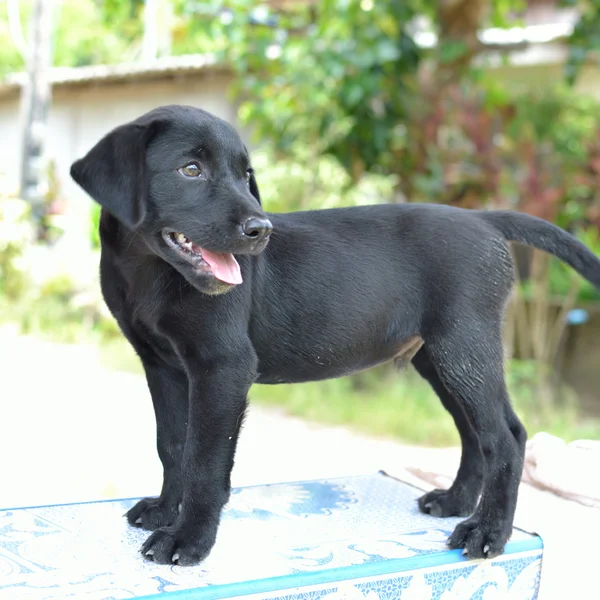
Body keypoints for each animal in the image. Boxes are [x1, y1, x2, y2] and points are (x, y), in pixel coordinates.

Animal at [71, 105, 600, 564]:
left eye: (245, 175)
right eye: (190, 169)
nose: (260, 230)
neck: (149, 271)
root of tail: (482, 218)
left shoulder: (222, 368)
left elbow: (204, 461)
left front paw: (188, 539)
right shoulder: (162, 366)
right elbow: (173, 446)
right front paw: (165, 511)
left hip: (464, 347)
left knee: (506, 436)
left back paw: (488, 531)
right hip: (441, 358)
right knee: (475, 434)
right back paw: (456, 503)